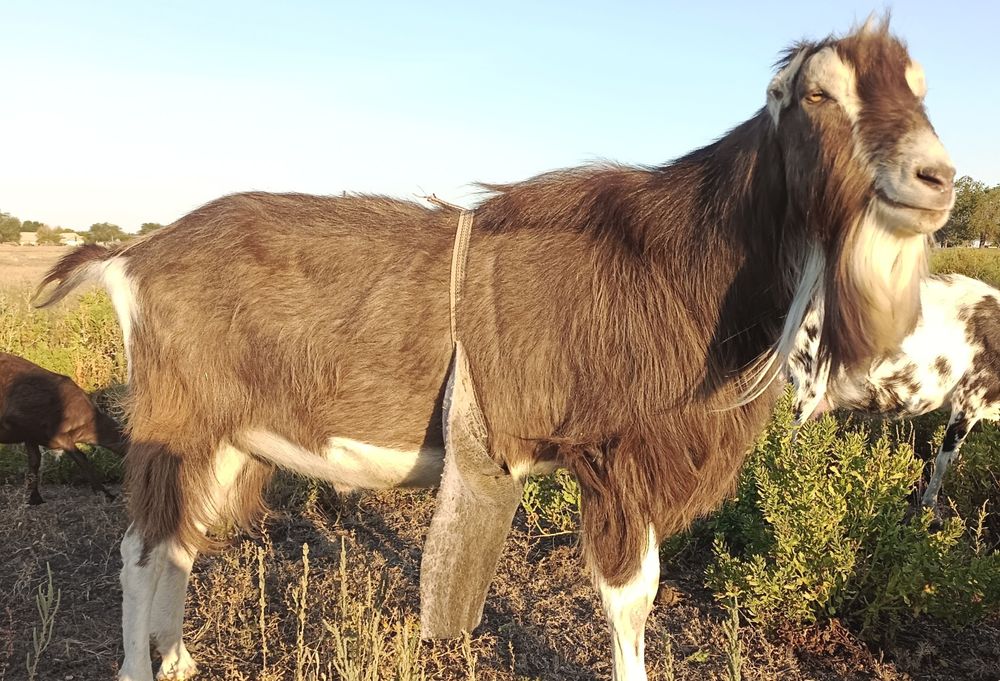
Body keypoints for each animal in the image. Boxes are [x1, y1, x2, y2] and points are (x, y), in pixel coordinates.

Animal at [0, 352, 126, 504]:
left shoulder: (31, 436)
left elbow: (35, 462)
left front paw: (35, 498)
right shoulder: (53, 433)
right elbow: (82, 458)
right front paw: (106, 494)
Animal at [35, 18, 953, 681]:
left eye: (921, 91)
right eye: (821, 95)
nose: (937, 178)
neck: (676, 257)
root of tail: (133, 254)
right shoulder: (610, 458)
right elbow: (632, 597)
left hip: (227, 431)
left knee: (179, 542)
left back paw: (180, 659)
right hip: (178, 414)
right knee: (140, 550)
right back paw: (141, 667)